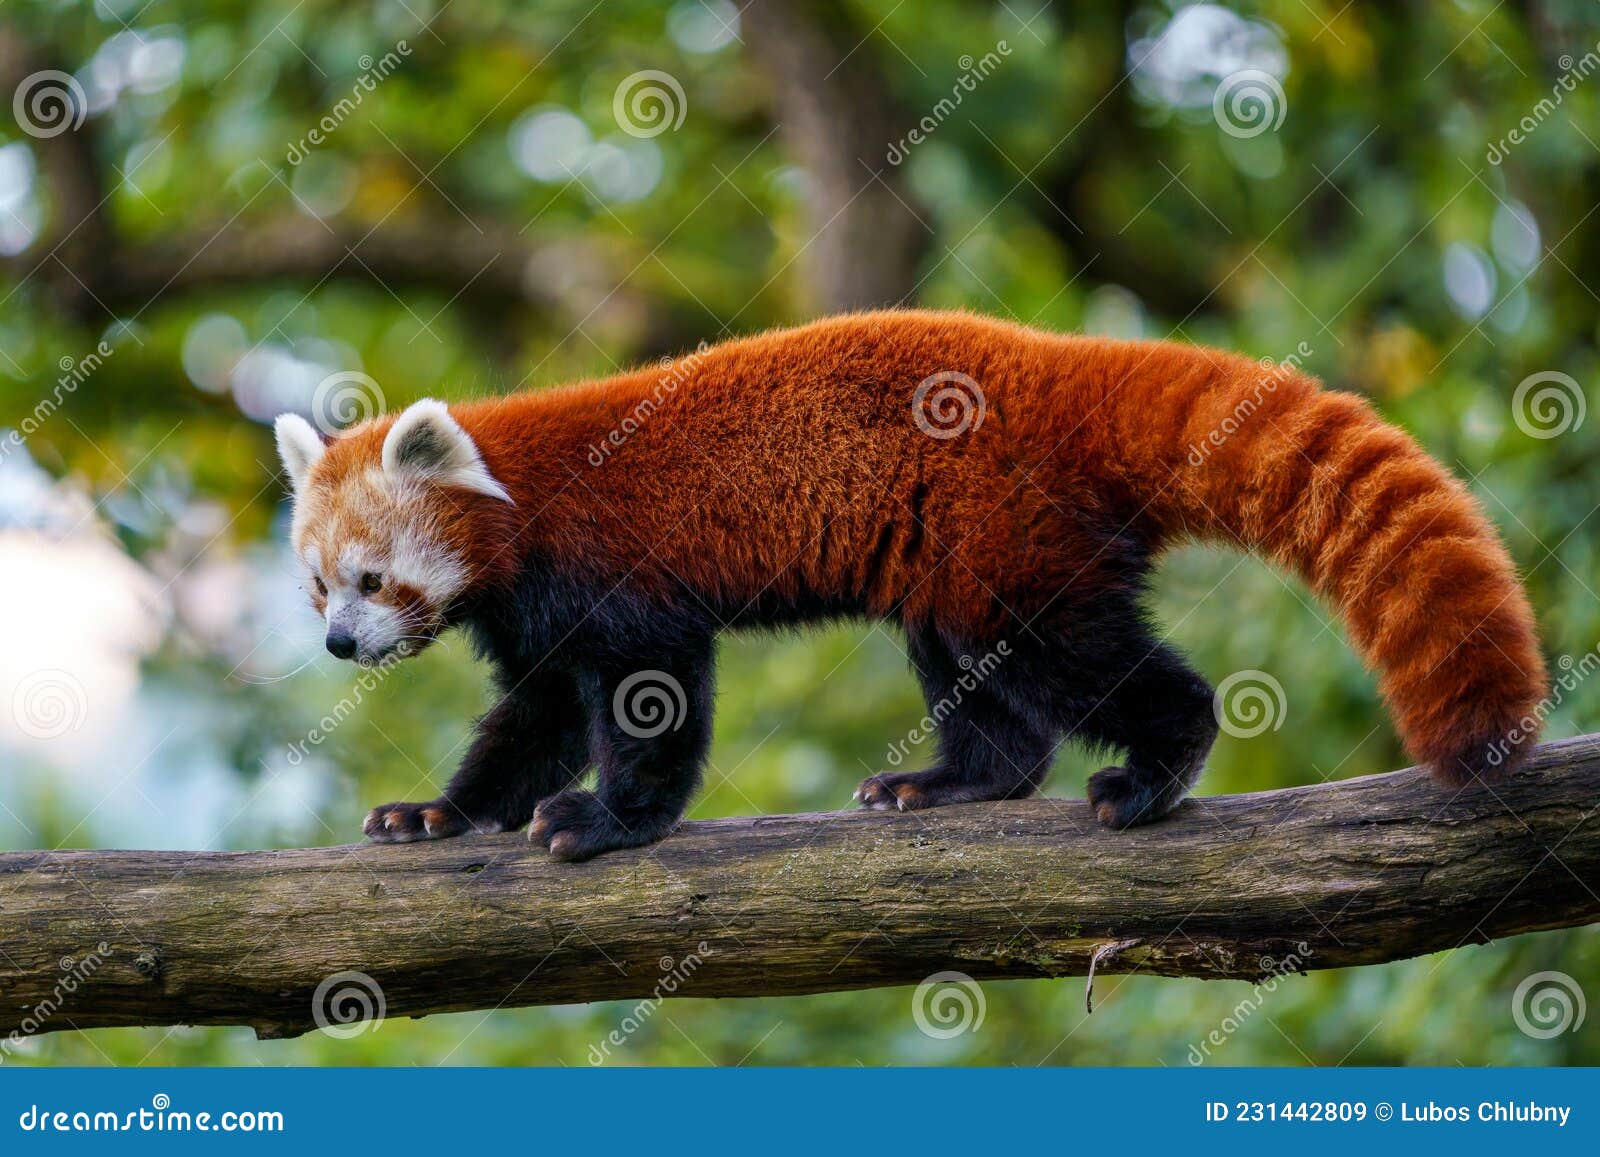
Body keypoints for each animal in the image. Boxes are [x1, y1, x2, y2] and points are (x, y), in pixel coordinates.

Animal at [275, 307, 1548, 857]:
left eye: (374, 579)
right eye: (318, 590)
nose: (338, 647)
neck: (517, 495)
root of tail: (1054, 362)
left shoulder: (615, 575)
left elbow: (651, 698)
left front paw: (608, 819)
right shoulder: (532, 617)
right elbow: (532, 716)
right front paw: (440, 811)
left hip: (1009, 535)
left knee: (1078, 657)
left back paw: (1154, 766)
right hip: (952, 558)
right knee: (978, 676)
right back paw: (955, 781)